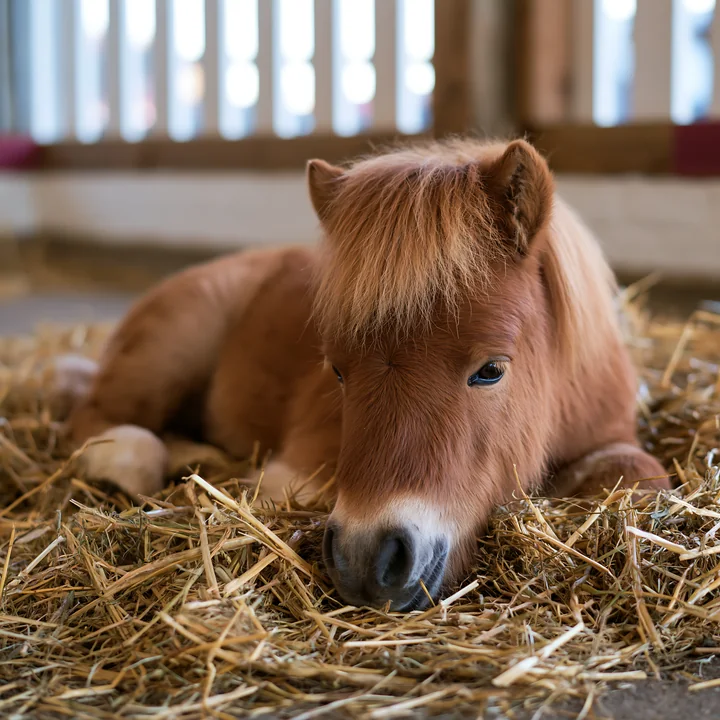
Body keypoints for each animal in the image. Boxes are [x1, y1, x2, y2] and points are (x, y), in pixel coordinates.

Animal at [54, 138, 671, 611]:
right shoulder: (302, 463)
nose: (367, 560)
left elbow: (642, 476)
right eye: (337, 371)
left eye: (492, 370)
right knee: (96, 419)